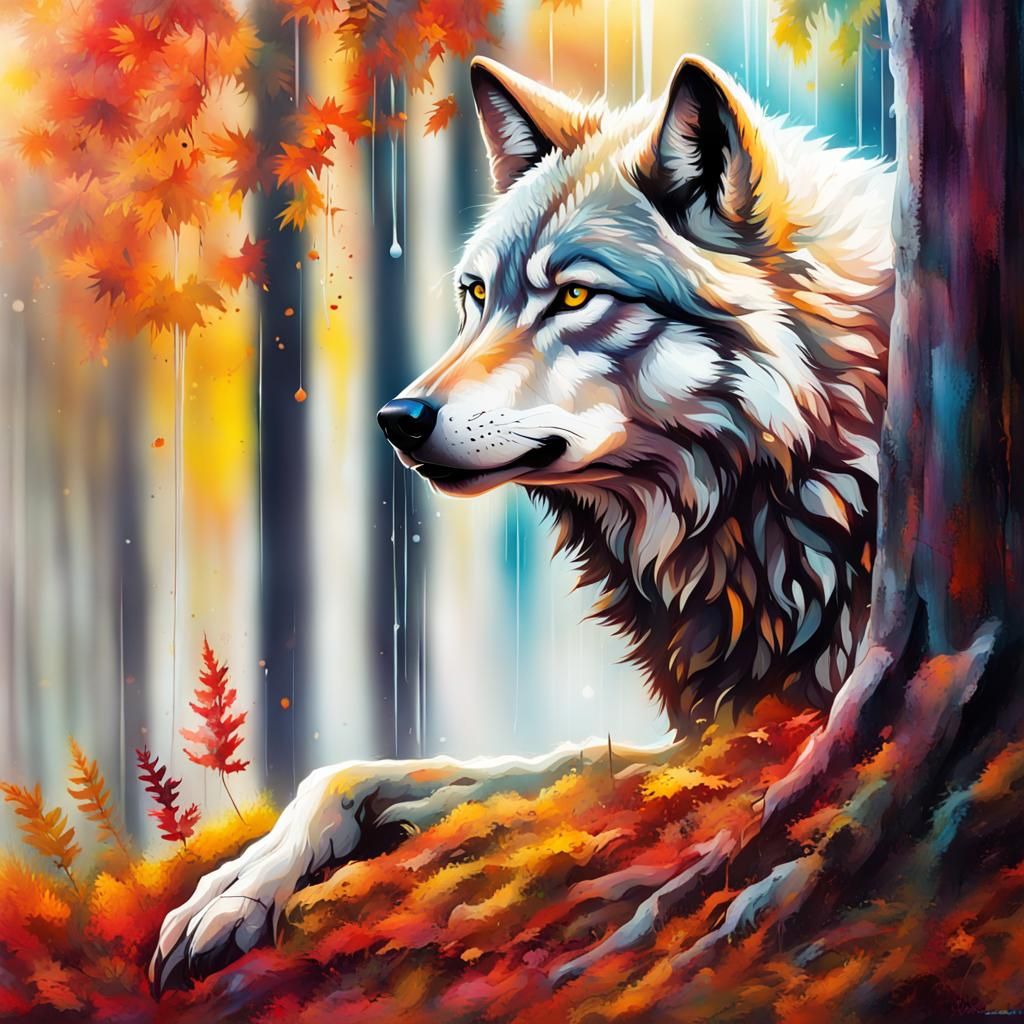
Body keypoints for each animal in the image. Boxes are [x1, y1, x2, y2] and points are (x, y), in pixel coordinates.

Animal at [150, 54, 893, 993]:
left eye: (574, 295)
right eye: (474, 294)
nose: (398, 418)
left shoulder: (756, 737)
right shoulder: (707, 738)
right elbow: (355, 772)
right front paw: (236, 890)